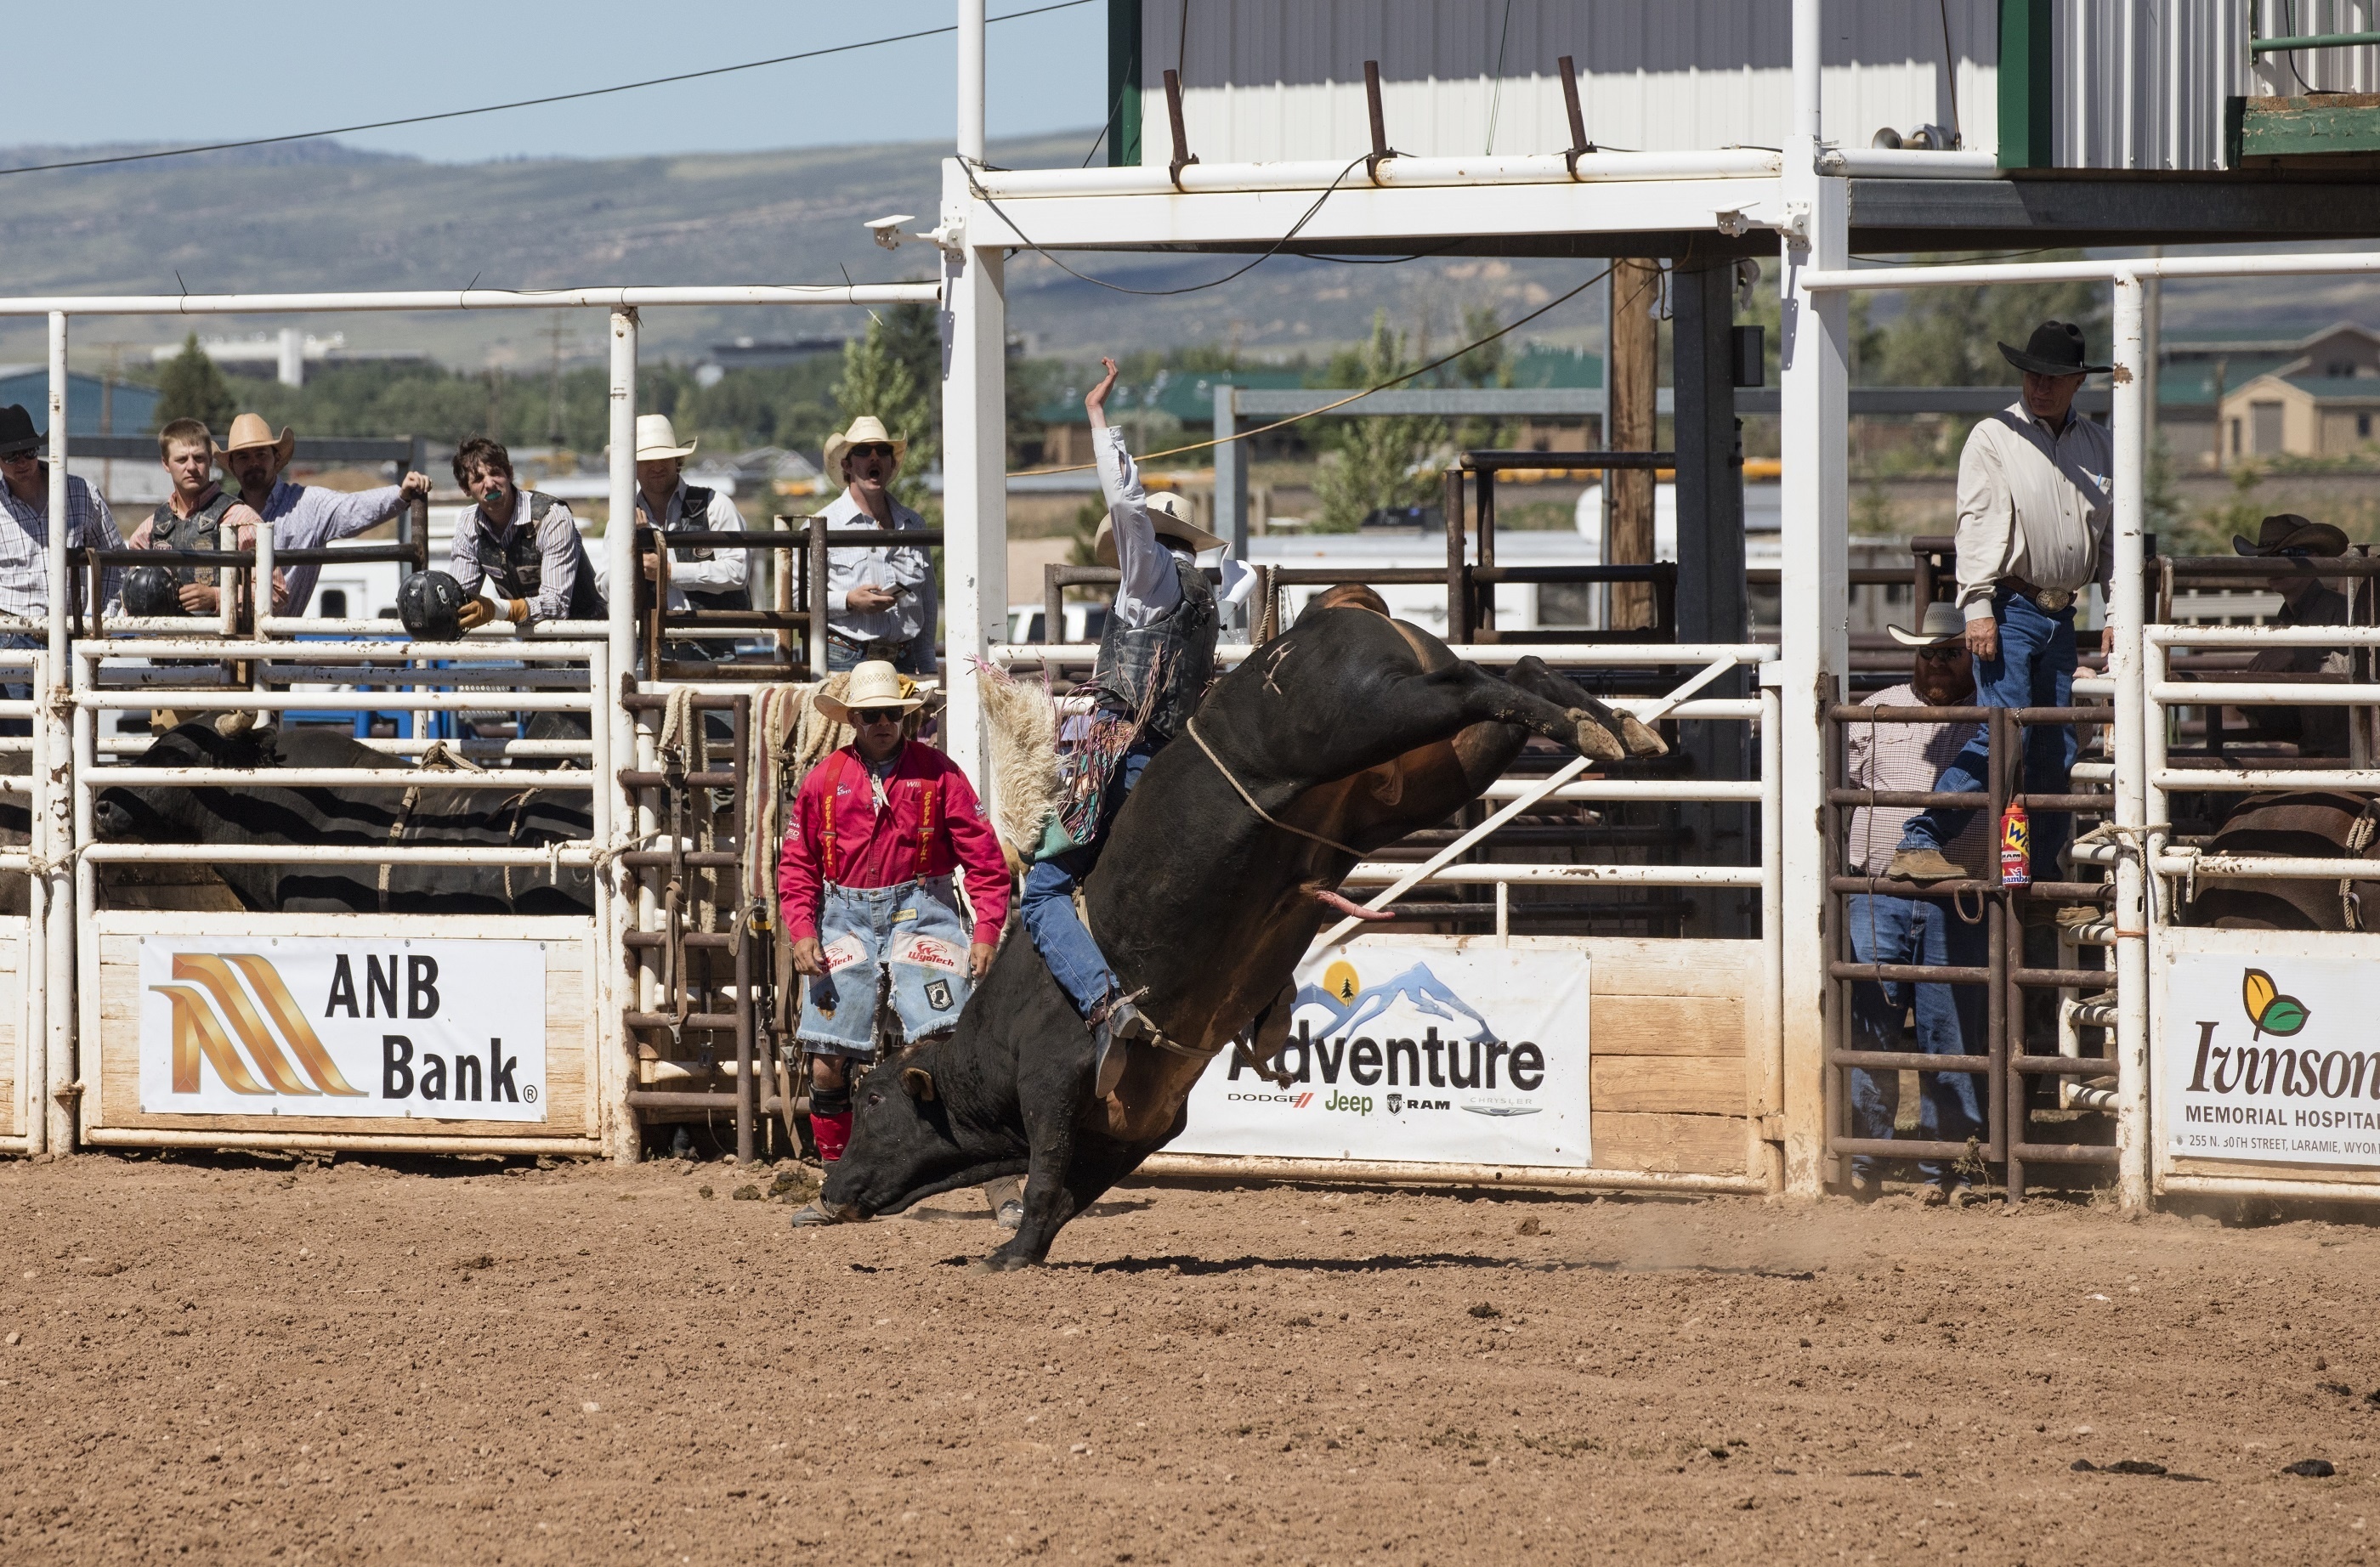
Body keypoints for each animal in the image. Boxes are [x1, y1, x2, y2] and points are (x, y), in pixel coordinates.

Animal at [809, 606, 1666, 1264]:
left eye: (875, 1100)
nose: (832, 1189)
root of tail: (1339, 614)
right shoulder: (1136, 1125)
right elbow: (1070, 1191)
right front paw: (1024, 1244)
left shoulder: (1055, 1082)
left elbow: (1047, 1174)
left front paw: (1010, 1254)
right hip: (1431, 770)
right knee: (1511, 673)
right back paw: (1614, 724)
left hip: (1372, 716)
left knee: (1478, 688)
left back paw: (1600, 728)